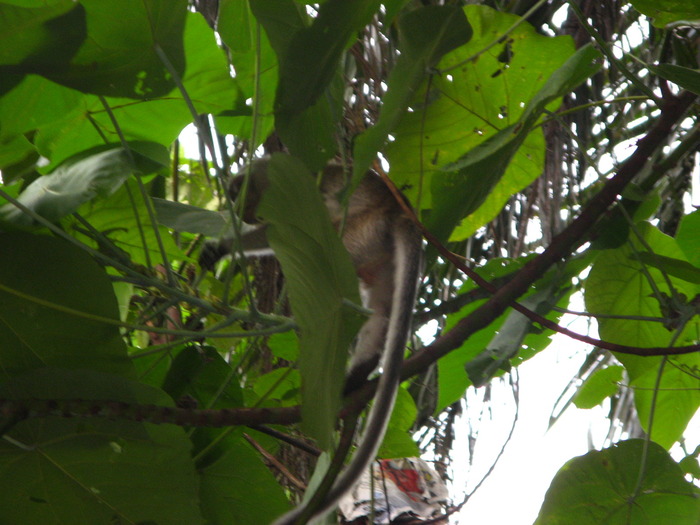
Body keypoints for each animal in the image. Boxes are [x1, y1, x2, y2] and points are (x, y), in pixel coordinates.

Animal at [200, 158, 424, 520]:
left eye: (237, 195)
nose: (243, 214)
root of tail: (400, 211)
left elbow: (284, 232)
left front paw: (223, 248)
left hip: (360, 232)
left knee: (325, 256)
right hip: (380, 252)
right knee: (379, 314)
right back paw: (357, 375)